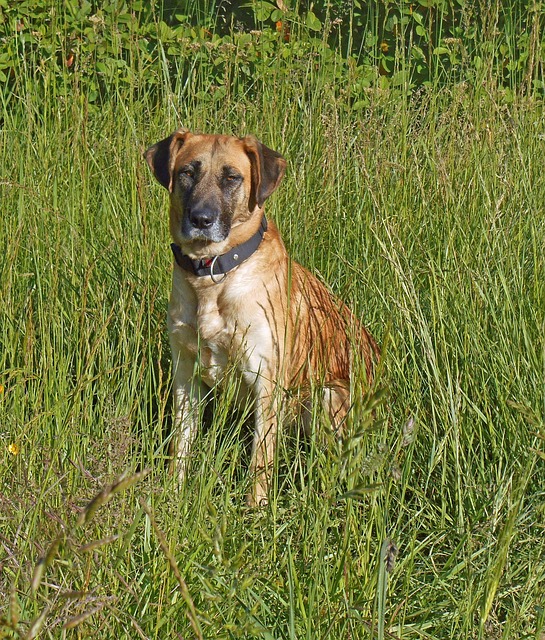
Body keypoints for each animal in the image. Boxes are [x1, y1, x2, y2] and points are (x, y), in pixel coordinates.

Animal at [144, 130, 378, 504]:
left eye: (232, 177)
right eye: (187, 173)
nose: (201, 220)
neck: (213, 275)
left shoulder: (266, 383)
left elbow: (260, 461)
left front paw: (256, 510)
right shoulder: (185, 376)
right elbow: (181, 446)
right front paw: (172, 496)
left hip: (328, 397)